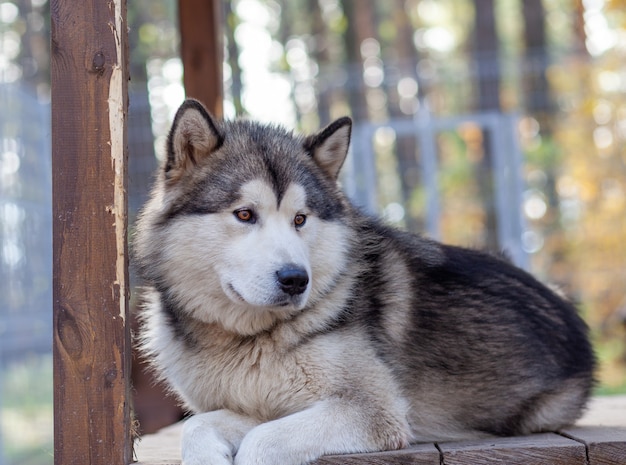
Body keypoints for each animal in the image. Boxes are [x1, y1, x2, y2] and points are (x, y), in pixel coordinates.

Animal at [134, 99, 592, 464]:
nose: (296, 280)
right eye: (245, 214)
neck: (248, 340)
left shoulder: (373, 412)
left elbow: (261, 443)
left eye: (300, 219)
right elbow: (197, 427)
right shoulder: (260, 407)